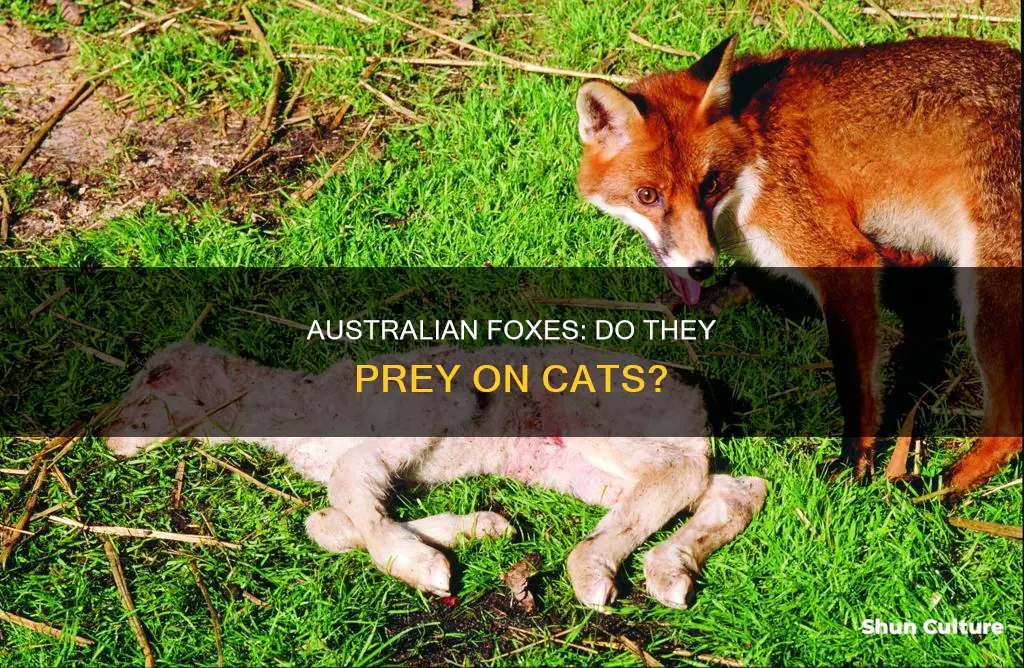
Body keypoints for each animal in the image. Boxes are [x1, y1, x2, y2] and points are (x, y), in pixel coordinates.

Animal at [575, 35, 1021, 498]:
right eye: (647, 195)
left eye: (709, 184)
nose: (700, 267)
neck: (752, 155)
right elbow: (748, 275)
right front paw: (715, 294)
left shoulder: (843, 255)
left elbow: (853, 383)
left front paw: (854, 465)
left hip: (985, 295)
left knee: (1010, 424)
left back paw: (941, 485)